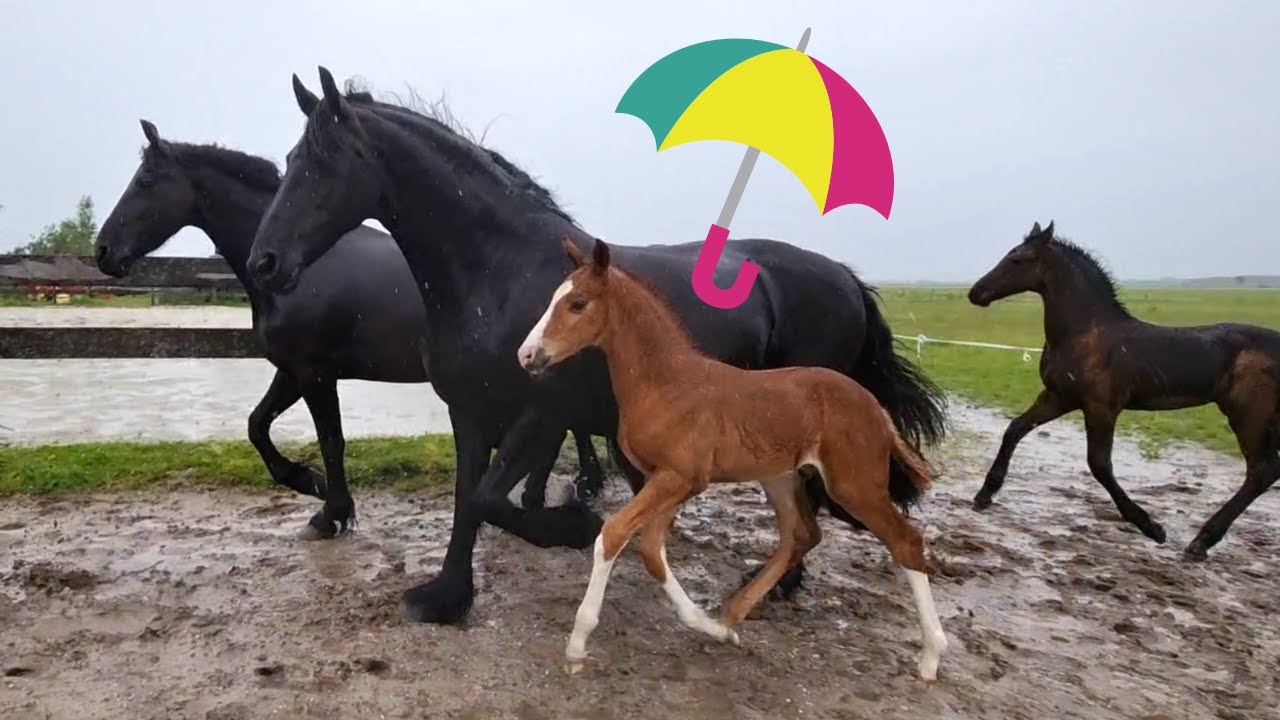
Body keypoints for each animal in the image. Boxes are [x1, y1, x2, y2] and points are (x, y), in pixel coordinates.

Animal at [93, 119, 608, 538]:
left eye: (145, 181)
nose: (103, 251)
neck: (303, 268)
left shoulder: (315, 373)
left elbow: (331, 441)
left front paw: (332, 512)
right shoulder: (292, 371)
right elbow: (257, 425)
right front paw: (307, 482)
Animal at [247, 67, 946, 624]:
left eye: (321, 165)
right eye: (289, 162)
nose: (264, 262)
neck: (500, 274)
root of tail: (845, 278)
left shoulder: (540, 414)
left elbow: (491, 499)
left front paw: (573, 527)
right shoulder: (469, 413)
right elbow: (468, 500)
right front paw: (447, 597)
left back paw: (777, 587)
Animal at [517, 237, 949, 680]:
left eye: (578, 303)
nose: (527, 354)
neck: (667, 383)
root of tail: (875, 407)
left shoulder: (680, 478)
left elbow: (614, 534)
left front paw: (577, 643)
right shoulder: (664, 479)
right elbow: (652, 551)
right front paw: (711, 627)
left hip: (853, 484)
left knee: (906, 541)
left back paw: (931, 656)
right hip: (781, 477)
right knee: (802, 534)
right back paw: (734, 613)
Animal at [968, 221, 1280, 560]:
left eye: (1018, 259)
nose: (976, 292)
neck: (1083, 334)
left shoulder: (1101, 406)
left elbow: (1099, 464)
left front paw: (1152, 527)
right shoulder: (1058, 397)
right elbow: (1014, 429)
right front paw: (984, 494)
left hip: (1249, 415)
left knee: (1261, 471)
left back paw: (1201, 541)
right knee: (1268, 469)